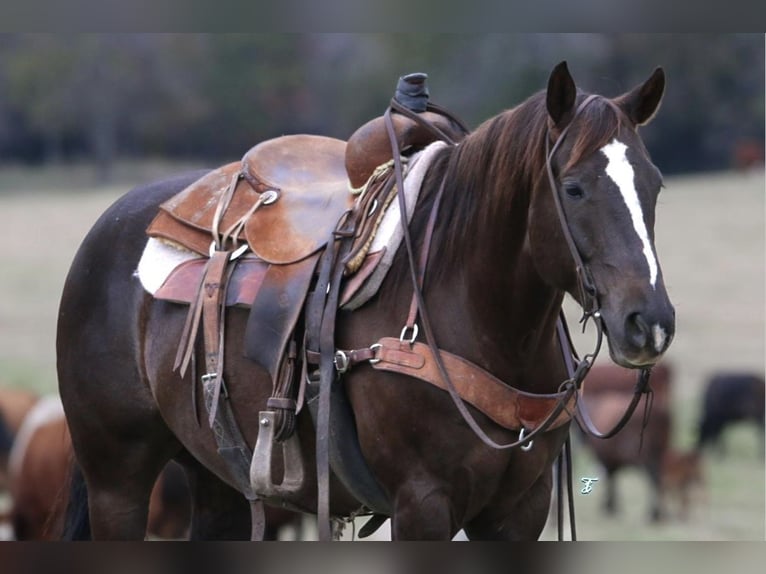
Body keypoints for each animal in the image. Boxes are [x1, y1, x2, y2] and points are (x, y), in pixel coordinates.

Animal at [57, 60, 676, 544]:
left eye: (655, 185)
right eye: (573, 187)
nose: (648, 323)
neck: (479, 316)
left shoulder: (520, 509)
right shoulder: (422, 503)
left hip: (216, 479)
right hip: (117, 479)